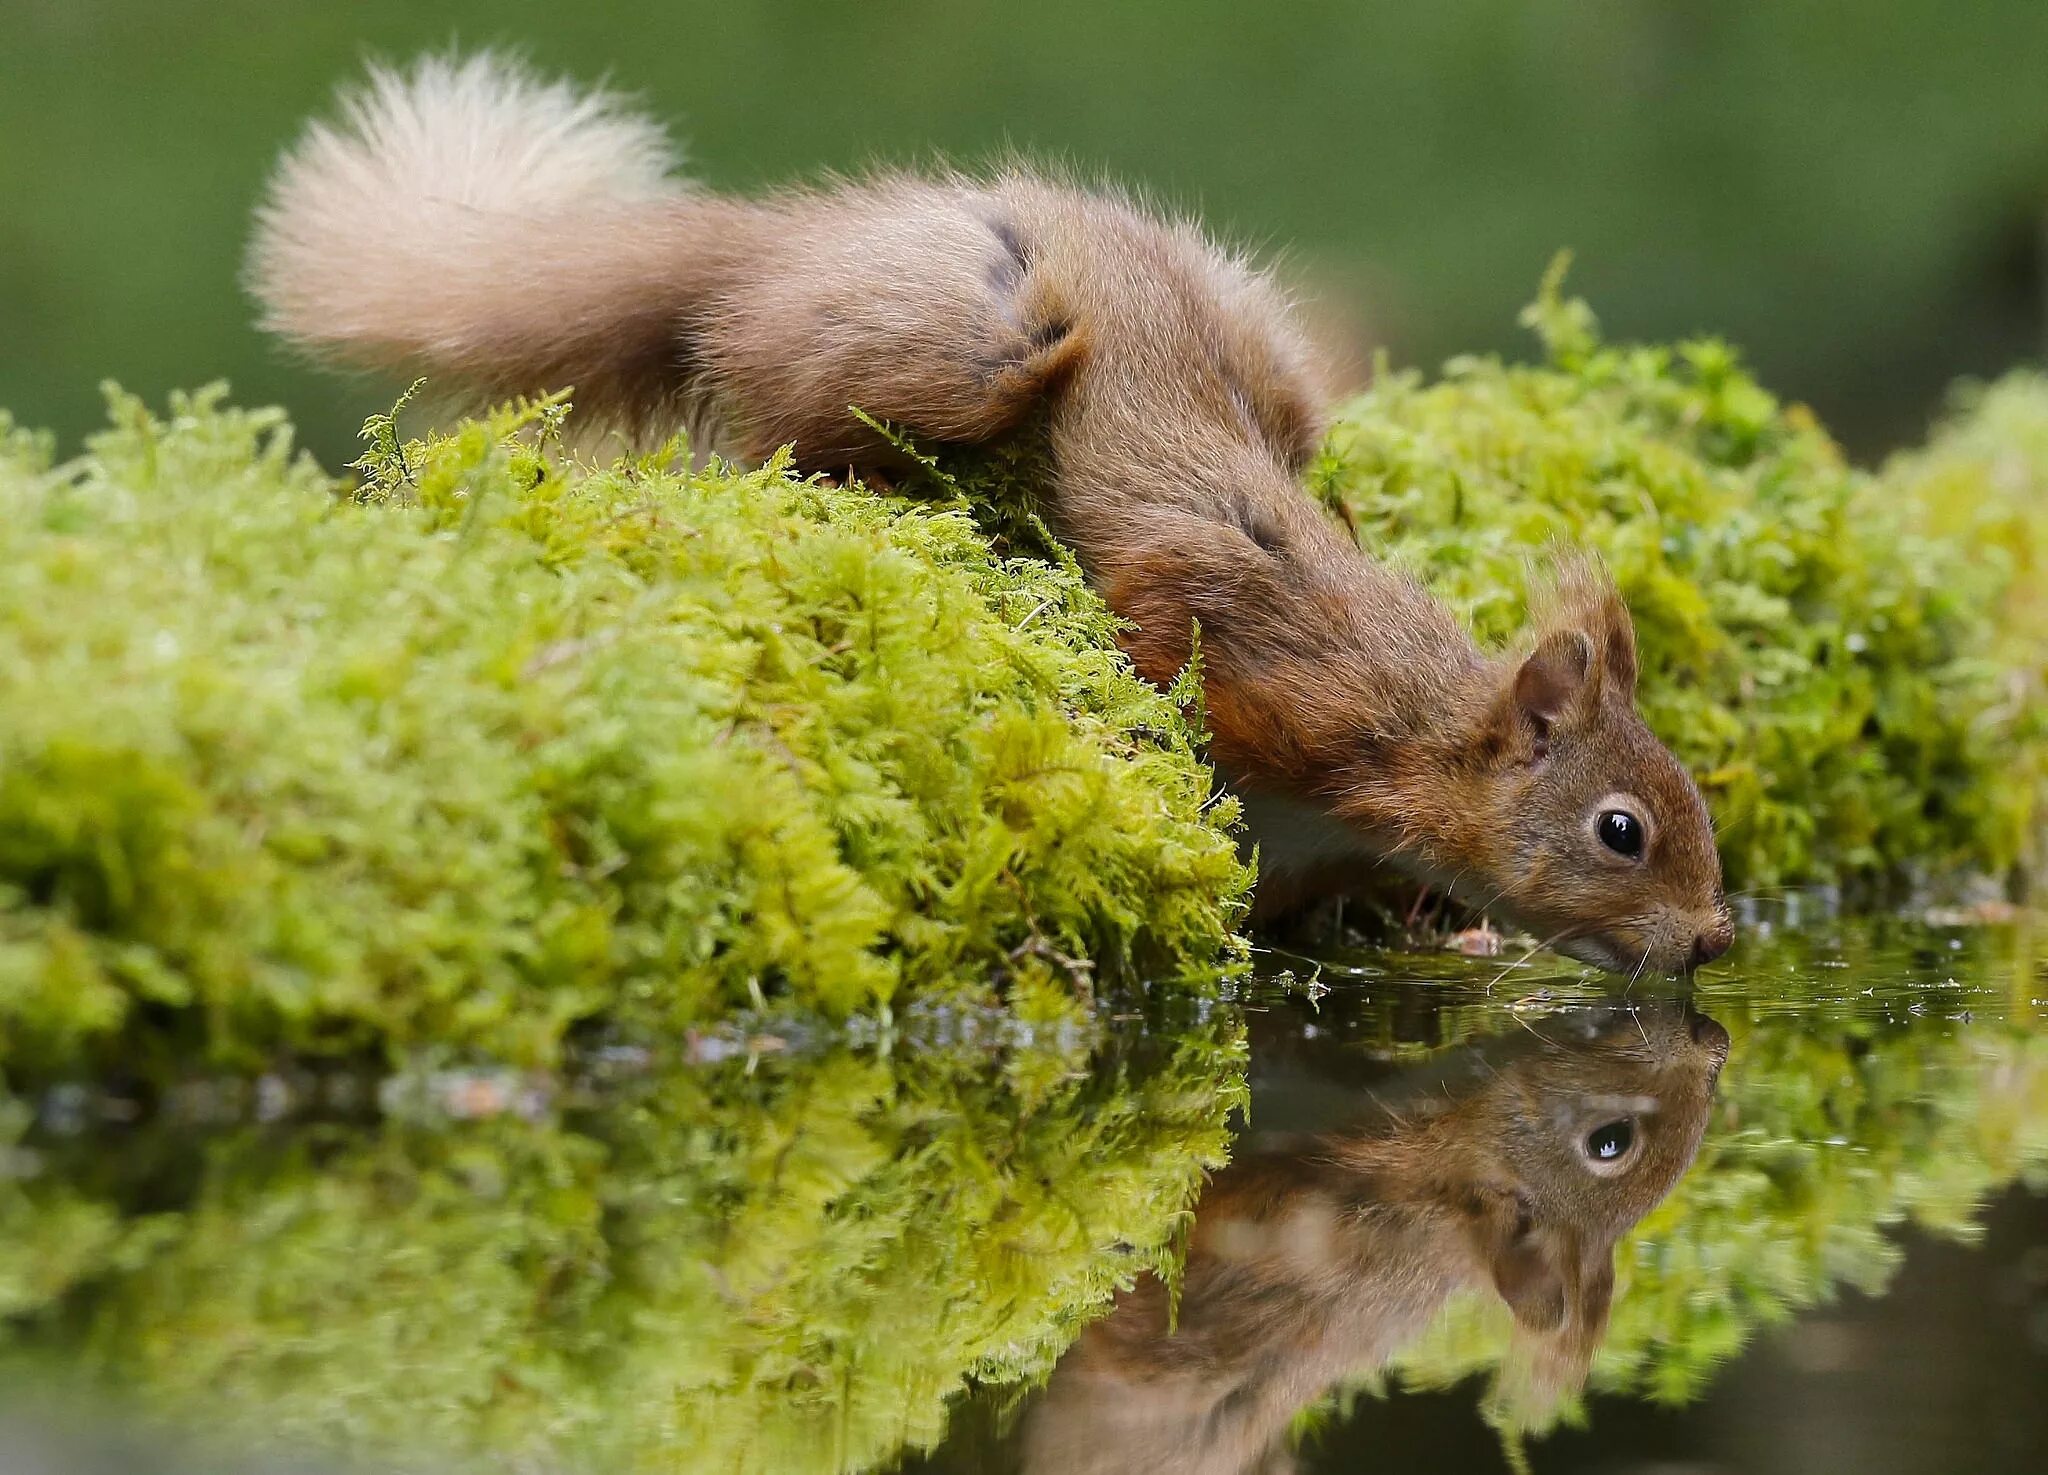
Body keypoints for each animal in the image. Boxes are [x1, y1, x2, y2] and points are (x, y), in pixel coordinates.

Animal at [247, 54, 1736, 979]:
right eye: (1621, 829)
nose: (1718, 936)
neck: (1409, 740)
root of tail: (789, 241)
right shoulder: (1250, 625)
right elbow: (1158, 618)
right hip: (976, 342)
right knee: (786, 420)